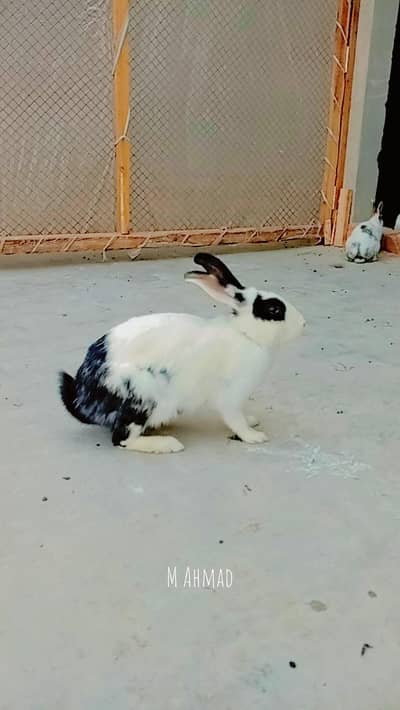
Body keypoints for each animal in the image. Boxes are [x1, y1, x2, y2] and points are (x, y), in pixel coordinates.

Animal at [59, 253, 305, 454]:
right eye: (274, 310)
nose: (303, 324)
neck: (245, 334)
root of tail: (83, 398)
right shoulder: (231, 395)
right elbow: (235, 419)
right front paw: (254, 436)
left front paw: (252, 421)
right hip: (141, 397)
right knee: (121, 439)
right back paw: (168, 444)